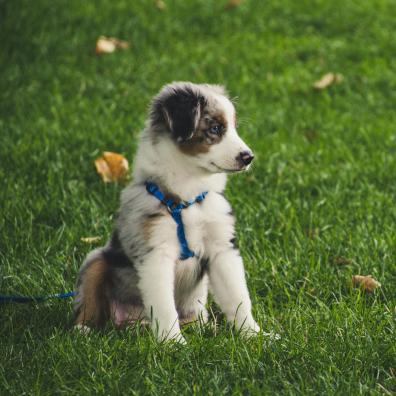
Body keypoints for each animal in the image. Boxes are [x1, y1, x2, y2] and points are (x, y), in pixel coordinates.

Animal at [74, 82, 260, 342]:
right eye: (215, 128)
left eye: (234, 128)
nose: (249, 157)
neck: (188, 196)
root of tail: (132, 321)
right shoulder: (155, 253)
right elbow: (163, 304)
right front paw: (173, 343)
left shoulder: (222, 248)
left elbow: (238, 297)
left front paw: (255, 336)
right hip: (96, 260)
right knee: (89, 299)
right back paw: (83, 329)